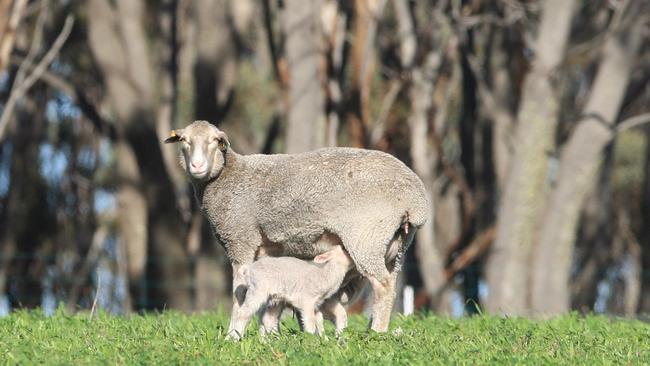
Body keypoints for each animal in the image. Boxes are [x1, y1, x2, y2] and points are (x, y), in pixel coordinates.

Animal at [163, 120, 426, 338]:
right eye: (184, 140)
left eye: (215, 141)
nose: (197, 165)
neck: (228, 177)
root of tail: (415, 200)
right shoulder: (268, 250)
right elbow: (273, 299)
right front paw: (270, 334)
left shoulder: (241, 239)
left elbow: (239, 293)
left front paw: (234, 334)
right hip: (395, 247)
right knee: (391, 284)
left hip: (366, 236)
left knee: (382, 286)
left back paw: (376, 333)